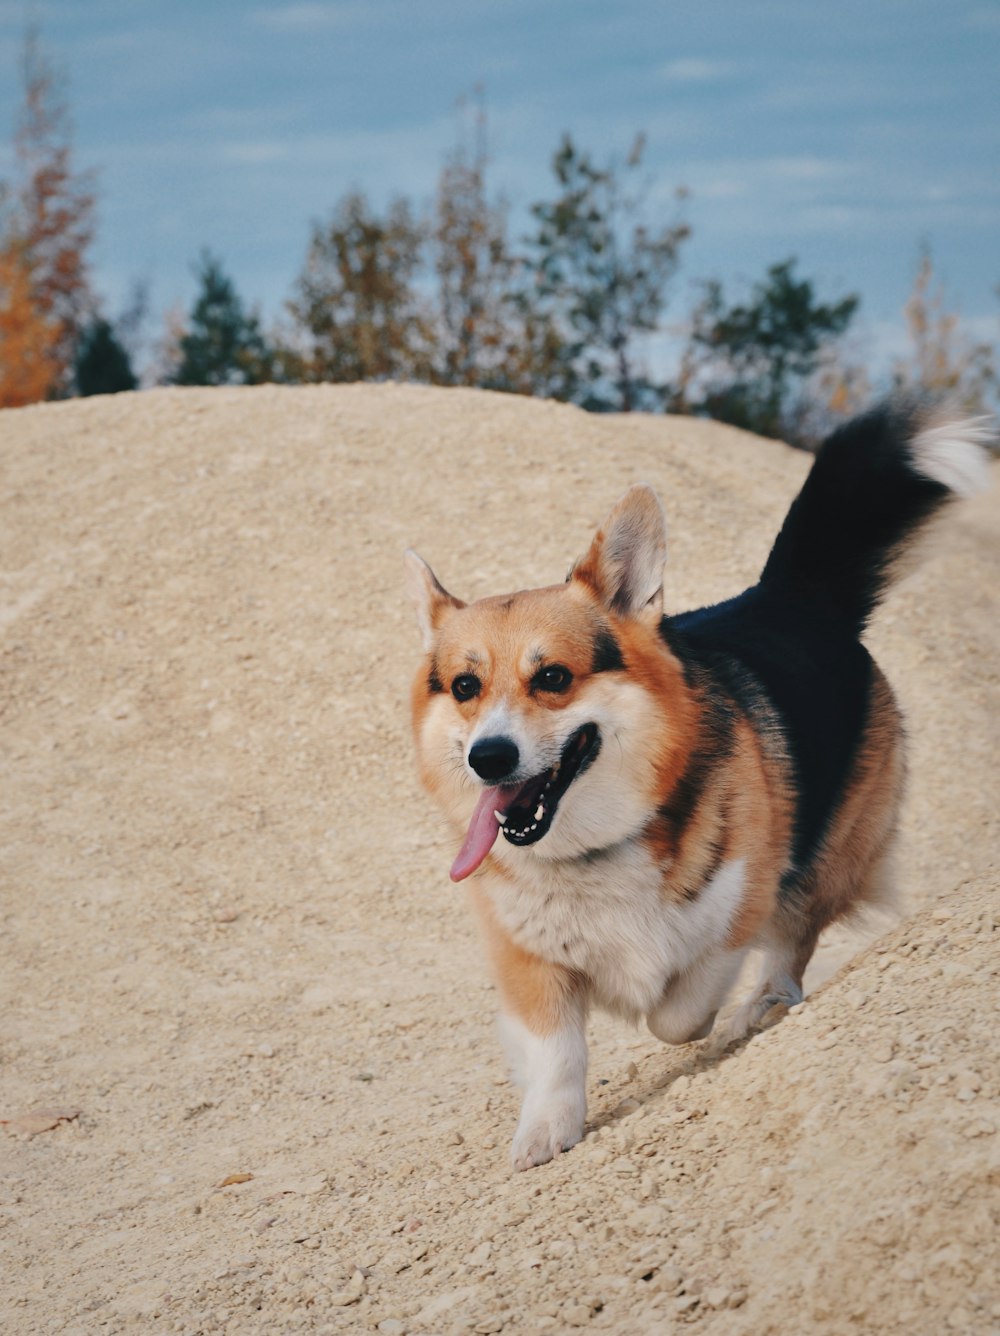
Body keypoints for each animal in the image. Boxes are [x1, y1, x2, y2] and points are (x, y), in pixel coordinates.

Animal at [405, 398, 993, 1170]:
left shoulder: (734, 912)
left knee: (792, 944)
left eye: (554, 677)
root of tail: (790, 597)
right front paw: (545, 1131)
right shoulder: (527, 961)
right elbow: (556, 1052)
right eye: (465, 687)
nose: (489, 759)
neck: (595, 847)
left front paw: (674, 1011)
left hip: (820, 859)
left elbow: (676, 1011)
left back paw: (762, 1005)